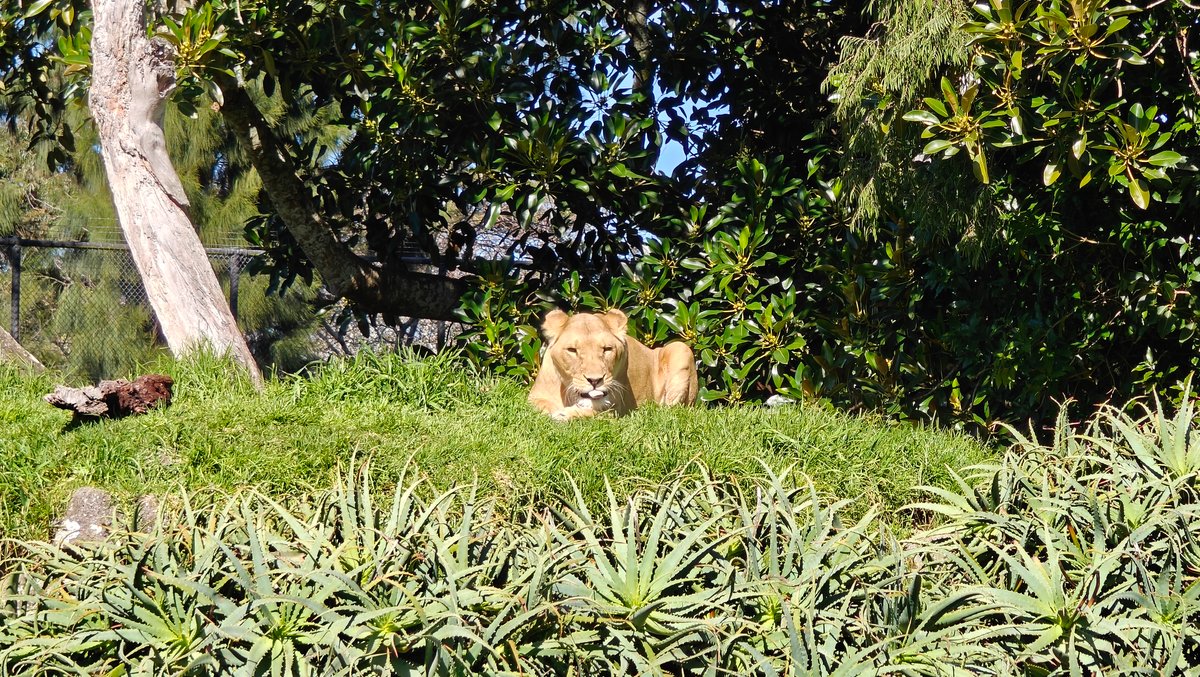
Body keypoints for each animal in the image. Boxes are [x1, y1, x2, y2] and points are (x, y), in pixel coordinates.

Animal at [528, 308, 698, 421]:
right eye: (572, 350)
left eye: (607, 349)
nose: (595, 381)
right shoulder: (534, 397)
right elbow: (542, 407)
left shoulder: (614, 409)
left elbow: (594, 413)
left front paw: (566, 414)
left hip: (680, 348)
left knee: (670, 412)